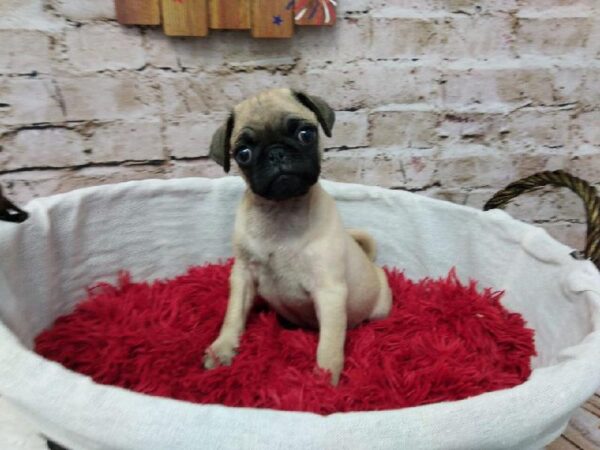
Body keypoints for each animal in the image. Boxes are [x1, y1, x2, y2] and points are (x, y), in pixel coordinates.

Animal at [203, 89, 394, 384]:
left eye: (306, 134)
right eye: (243, 153)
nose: (276, 153)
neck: (281, 210)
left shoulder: (329, 292)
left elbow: (329, 345)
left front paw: (323, 382)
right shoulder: (243, 275)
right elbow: (233, 315)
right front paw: (222, 349)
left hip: (380, 307)